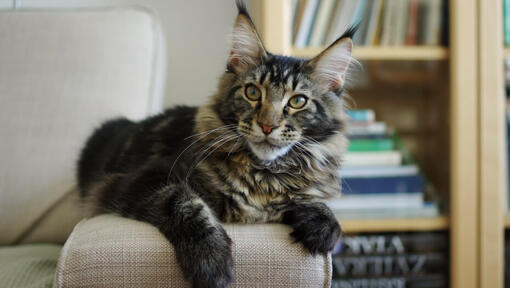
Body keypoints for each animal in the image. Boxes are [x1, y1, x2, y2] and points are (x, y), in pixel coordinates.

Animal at [79, 1, 356, 286]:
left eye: (298, 101)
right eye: (252, 92)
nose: (267, 126)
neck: (263, 175)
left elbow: (314, 204)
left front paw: (323, 227)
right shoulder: (143, 179)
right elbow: (186, 203)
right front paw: (212, 263)